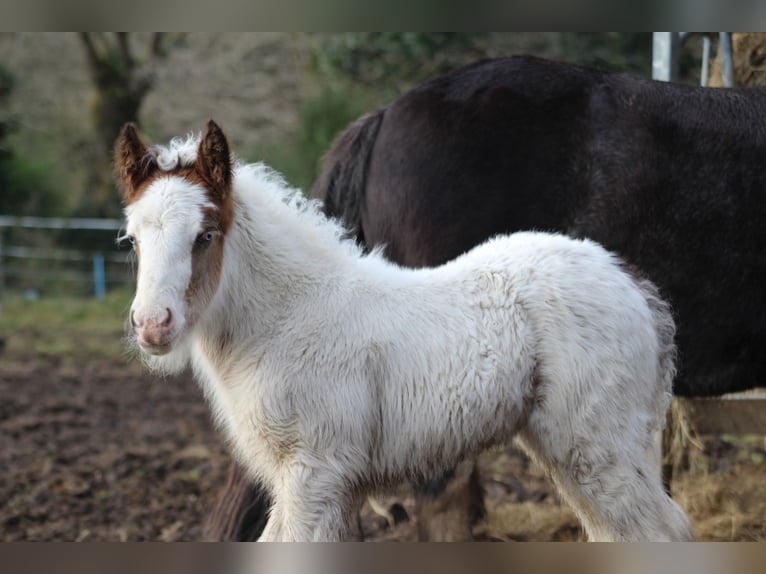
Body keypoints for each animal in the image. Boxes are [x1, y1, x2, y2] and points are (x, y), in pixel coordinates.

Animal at [118, 121, 696, 544]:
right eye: (132, 239)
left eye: (205, 235)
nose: (152, 325)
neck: (290, 316)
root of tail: (630, 281)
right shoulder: (308, 482)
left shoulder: (315, 471)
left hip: (598, 447)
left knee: (662, 531)